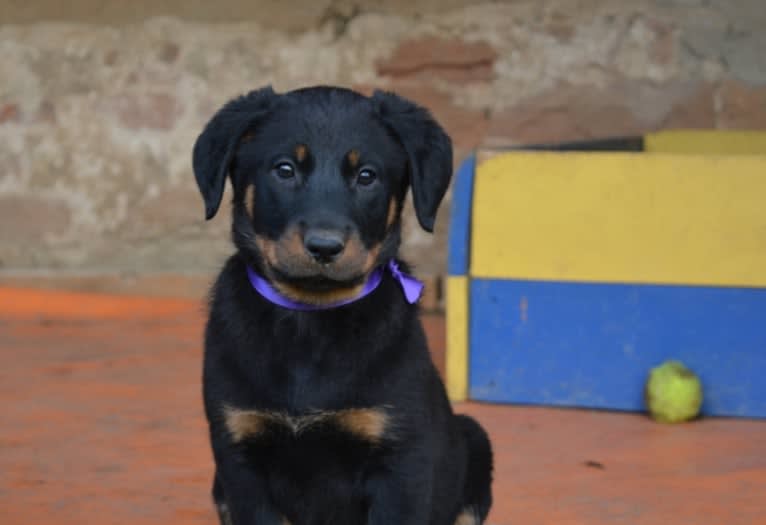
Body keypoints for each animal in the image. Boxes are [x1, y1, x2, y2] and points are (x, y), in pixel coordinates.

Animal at [192, 87, 492, 524]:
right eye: (284, 170)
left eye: (366, 176)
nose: (324, 246)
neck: (311, 317)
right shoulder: (241, 459)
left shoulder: (400, 461)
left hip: (474, 443)